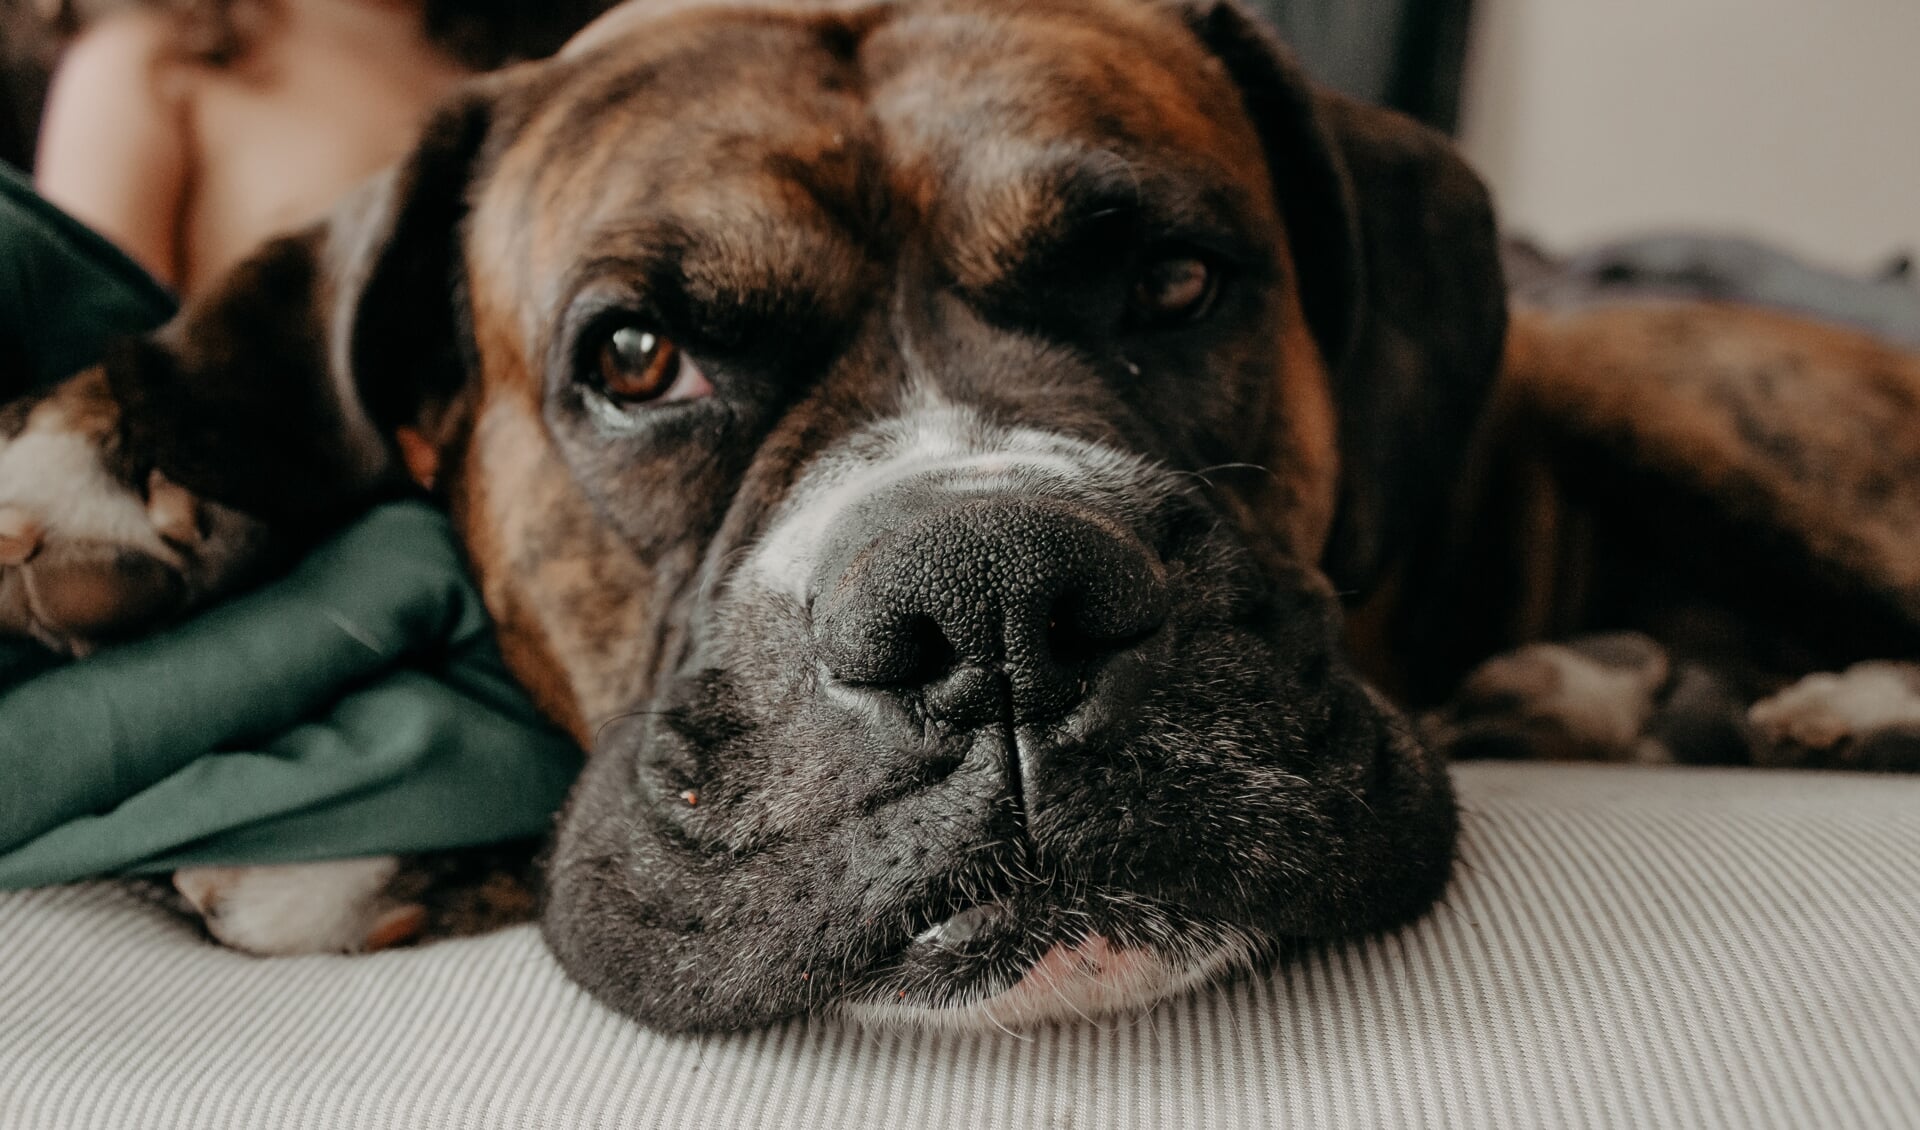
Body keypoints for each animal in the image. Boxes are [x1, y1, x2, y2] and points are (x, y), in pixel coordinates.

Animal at [3, 0, 1920, 1028]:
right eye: (634, 356)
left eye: (1174, 280)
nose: (997, 600)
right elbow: (272, 299)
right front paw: (96, 466)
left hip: (1663, 370)